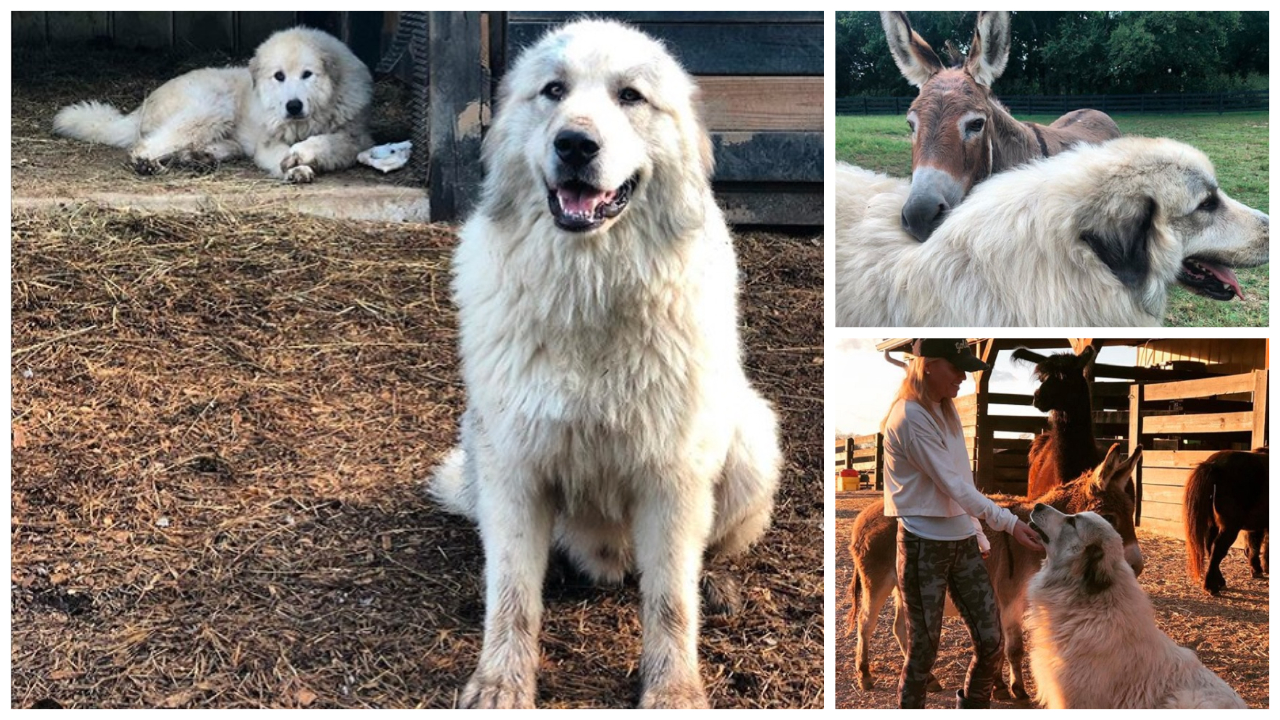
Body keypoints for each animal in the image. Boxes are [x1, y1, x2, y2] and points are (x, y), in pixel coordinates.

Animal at [53, 27, 371, 181]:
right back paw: (149, 165)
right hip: (213, 108)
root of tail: (142, 105)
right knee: (144, 146)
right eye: (279, 76)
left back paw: (198, 158)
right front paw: (294, 167)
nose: (292, 106)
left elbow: (326, 142)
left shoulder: (357, 138)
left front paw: (302, 156)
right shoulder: (268, 143)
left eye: (307, 74)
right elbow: (283, 153)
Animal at [427, 20, 778, 707]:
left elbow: (670, 602)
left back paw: (717, 584)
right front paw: (502, 683)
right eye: (553, 91)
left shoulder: (673, 477)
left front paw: (674, 692)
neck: (589, 287)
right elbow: (512, 593)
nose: (574, 144)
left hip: (751, 439)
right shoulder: (513, 465)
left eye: (630, 97)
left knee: (709, 554)